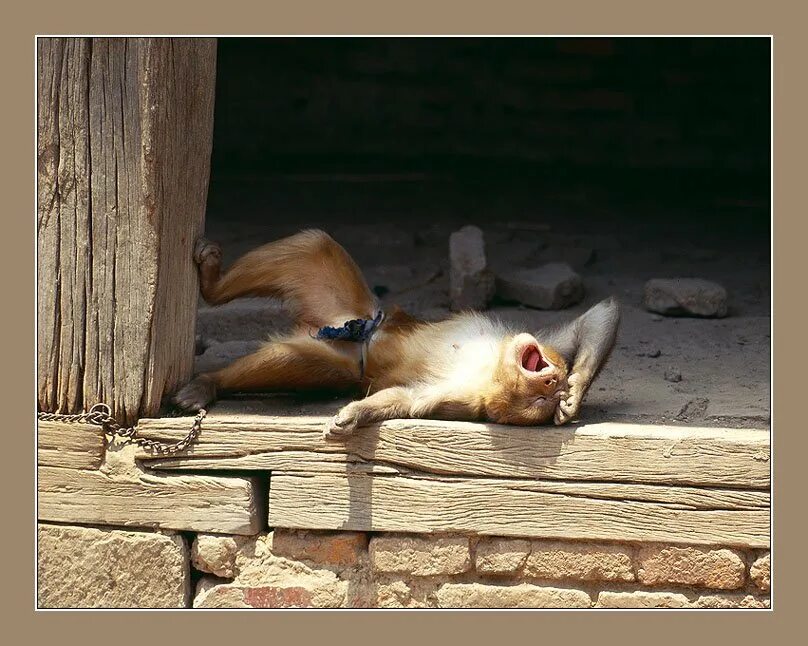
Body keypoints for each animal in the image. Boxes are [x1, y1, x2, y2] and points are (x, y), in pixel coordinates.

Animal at [174, 230, 620, 438]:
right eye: (547, 387)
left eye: (540, 399)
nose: (553, 380)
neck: (488, 368)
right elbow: (594, 318)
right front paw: (575, 393)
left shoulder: (460, 397)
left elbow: (407, 400)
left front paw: (354, 414)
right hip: (356, 311)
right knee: (314, 244)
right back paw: (212, 286)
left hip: (343, 358)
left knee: (293, 357)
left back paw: (209, 381)